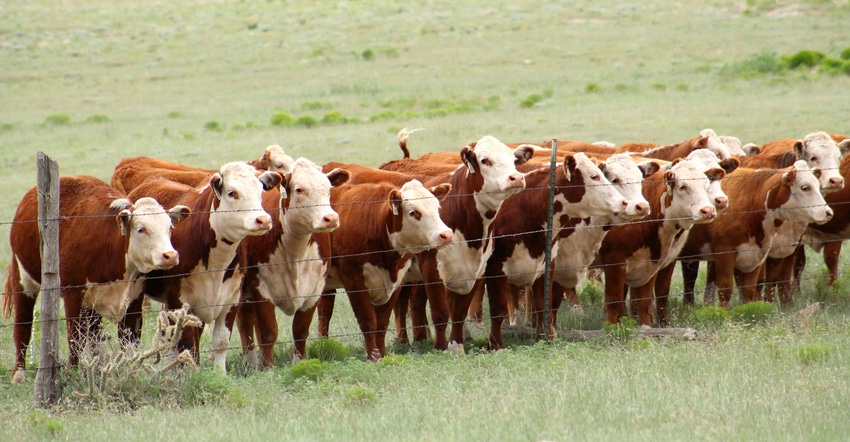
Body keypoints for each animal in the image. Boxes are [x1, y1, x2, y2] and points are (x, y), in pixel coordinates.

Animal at [2, 177, 189, 384]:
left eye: (170, 227)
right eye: (141, 229)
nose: (170, 255)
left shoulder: (134, 298)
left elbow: (129, 339)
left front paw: (128, 370)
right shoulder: (73, 295)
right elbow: (75, 338)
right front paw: (71, 372)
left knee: (94, 333)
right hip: (23, 279)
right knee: (23, 325)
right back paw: (19, 373)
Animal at [124, 161, 280, 374]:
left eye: (260, 190)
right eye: (232, 192)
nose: (263, 220)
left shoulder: (230, 299)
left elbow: (221, 341)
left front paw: (220, 375)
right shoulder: (180, 301)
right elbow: (188, 344)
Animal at [232, 159, 348, 366]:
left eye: (328, 188)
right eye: (300, 189)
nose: (330, 218)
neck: (295, 251)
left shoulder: (313, 291)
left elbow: (300, 331)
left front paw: (299, 363)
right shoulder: (261, 290)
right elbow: (269, 332)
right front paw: (267, 368)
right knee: (245, 322)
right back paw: (250, 362)